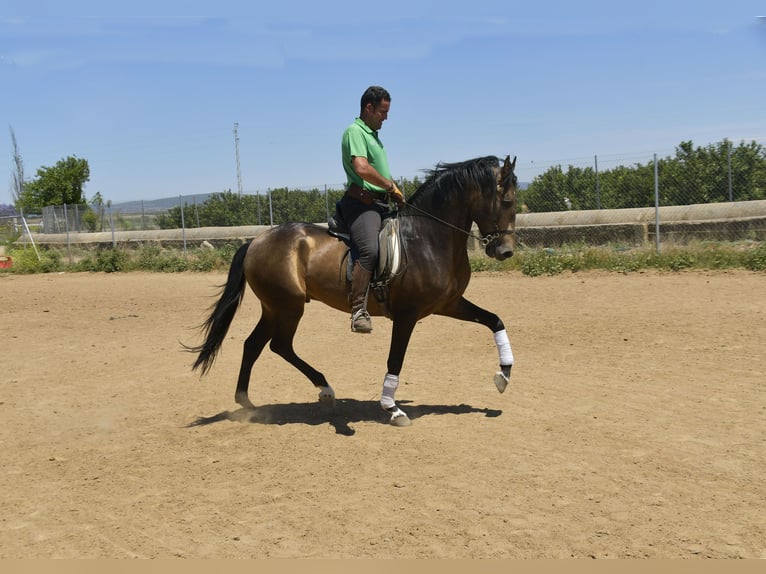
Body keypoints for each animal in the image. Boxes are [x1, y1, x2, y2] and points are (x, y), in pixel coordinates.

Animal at [188, 154, 520, 428]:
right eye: (506, 202)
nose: (505, 251)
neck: (428, 238)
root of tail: (256, 241)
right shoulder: (408, 314)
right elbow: (395, 359)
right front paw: (392, 409)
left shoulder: (448, 303)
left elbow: (495, 320)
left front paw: (503, 375)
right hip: (288, 306)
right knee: (279, 345)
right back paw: (324, 389)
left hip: (275, 307)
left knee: (255, 344)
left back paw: (248, 401)